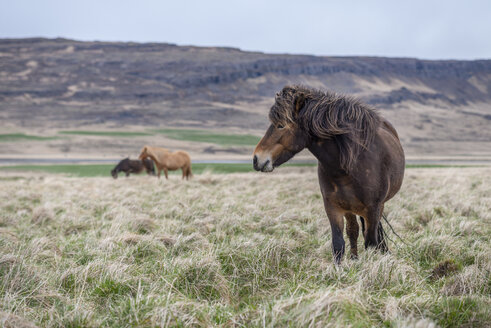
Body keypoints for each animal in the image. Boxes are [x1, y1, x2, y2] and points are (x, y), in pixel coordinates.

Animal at [252, 85, 406, 264]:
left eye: (281, 125)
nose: (256, 159)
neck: (349, 165)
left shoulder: (373, 209)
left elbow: (371, 243)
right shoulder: (333, 207)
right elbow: (338, 243)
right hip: (350, 207)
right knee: (353, 230)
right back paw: (354, 259)